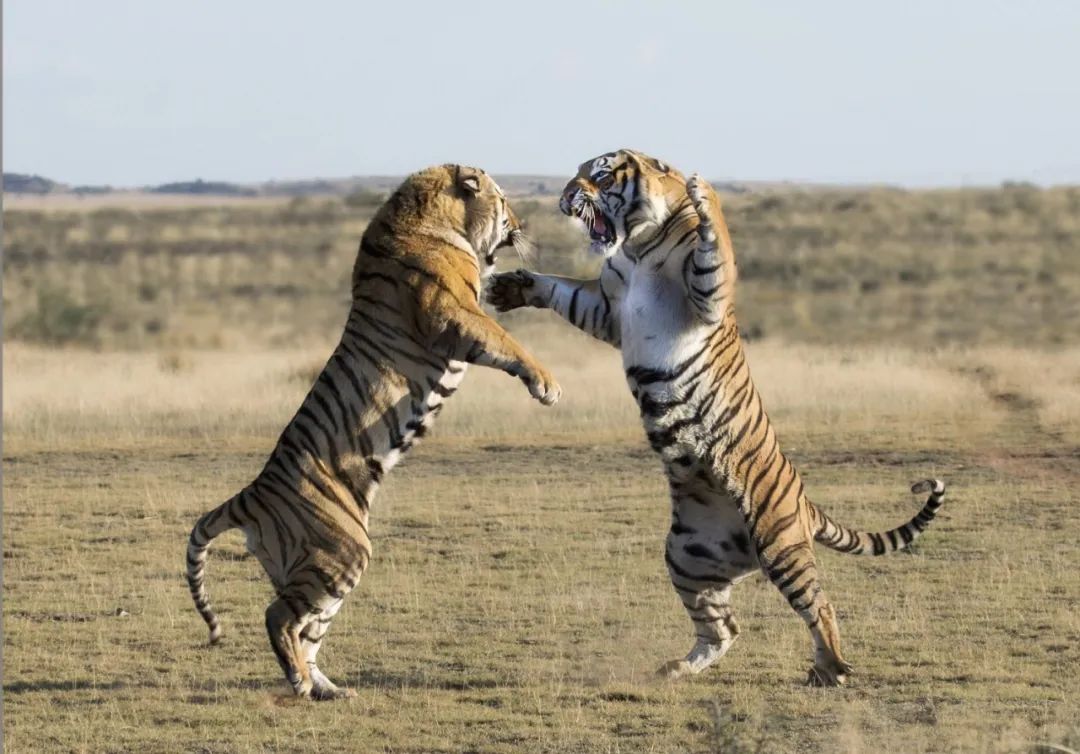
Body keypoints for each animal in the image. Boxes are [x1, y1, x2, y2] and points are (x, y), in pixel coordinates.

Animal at [186, 164, 561, 700]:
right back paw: (301, 683)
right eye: (504, 201)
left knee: (308, 630)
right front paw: (546, 384)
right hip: (343, 552)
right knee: (278, 616)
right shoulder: (453, 315)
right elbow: (507, 342)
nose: (523, 222)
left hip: (320, 568)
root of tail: (252, 492)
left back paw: (326, 687)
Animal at [487, 149, 945, 686]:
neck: (636, 246)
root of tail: (803, 502)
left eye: (599, 173)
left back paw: (831, 669)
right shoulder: (606, 308)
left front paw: (704, 191)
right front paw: (511, 287)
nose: (564, 194)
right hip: (687, 556)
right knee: (724, 628)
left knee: (820, 606)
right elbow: (565, 292)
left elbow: (717, 243)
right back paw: (677, 668)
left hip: (779, 543)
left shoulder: (704, 293)